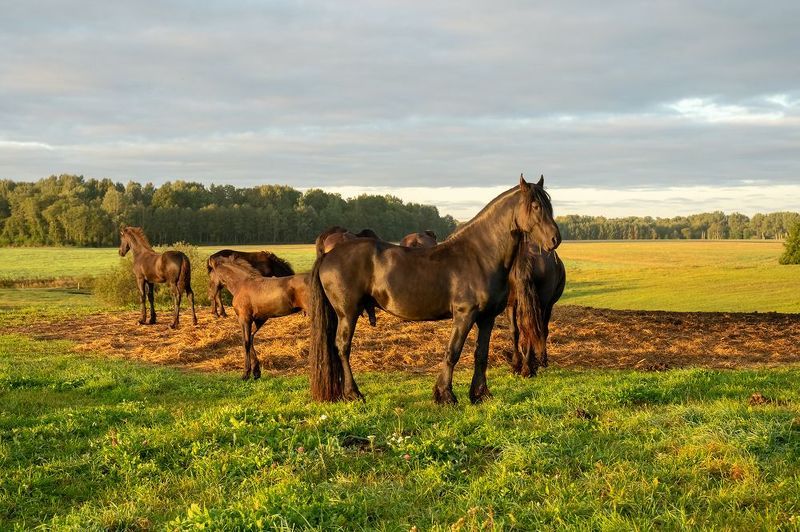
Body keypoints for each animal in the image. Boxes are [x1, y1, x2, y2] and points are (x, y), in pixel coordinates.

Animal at [505, 243, 565, 377]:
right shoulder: (548, 306)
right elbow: (544, 331)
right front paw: (542, 360)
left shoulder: (511, 304)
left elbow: (515, 331)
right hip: (543, 304)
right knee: (535, 330)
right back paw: (528, 368)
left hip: (511, 304)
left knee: (517, 330)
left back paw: (519, 366)